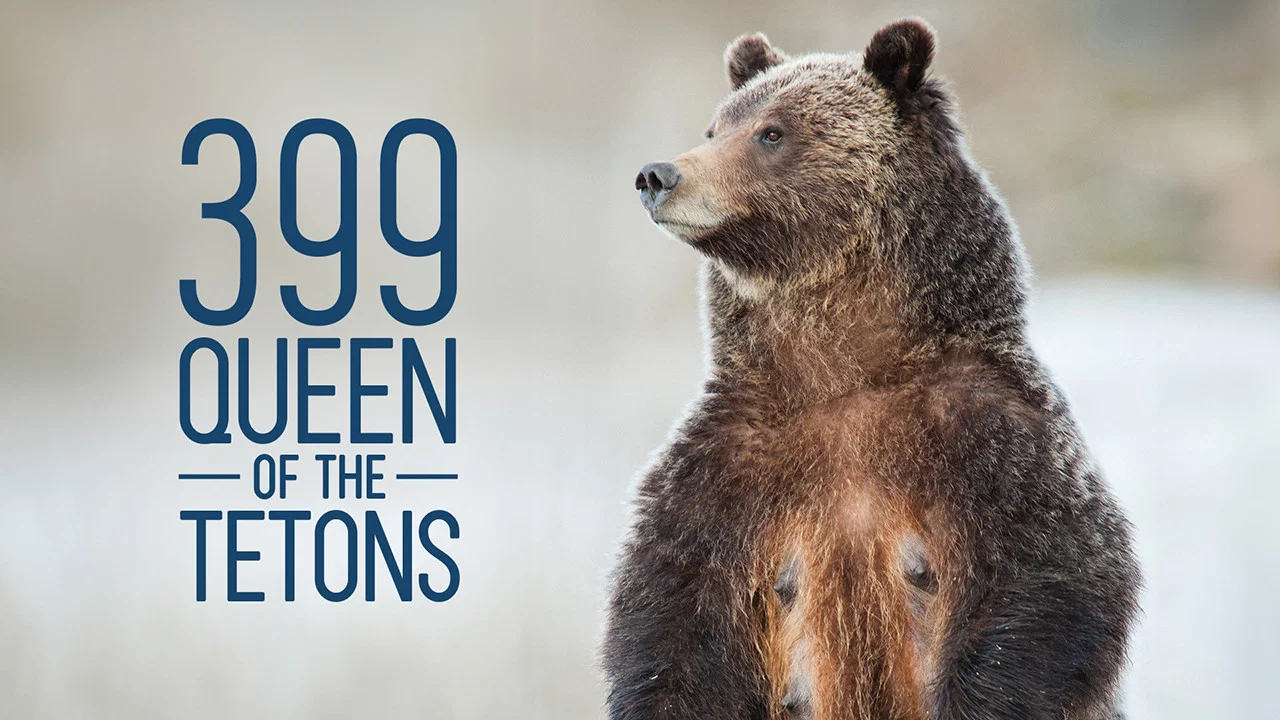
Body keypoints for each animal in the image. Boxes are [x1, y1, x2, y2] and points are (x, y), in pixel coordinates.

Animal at [603, 18, 1141, 720]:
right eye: (715, 128)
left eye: (772, 131)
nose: (657, 175)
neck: (845, 368)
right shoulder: (724, 468)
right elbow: (672, 623)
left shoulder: (994, 437)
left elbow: (1049, 584)